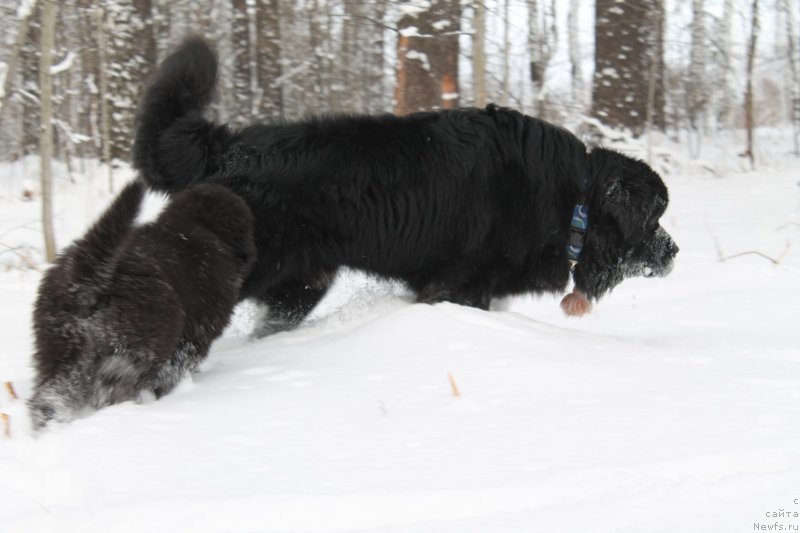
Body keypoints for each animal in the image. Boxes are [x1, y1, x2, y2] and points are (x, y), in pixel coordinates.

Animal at [28, 179, 253, 428]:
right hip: (135, 348)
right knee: (116, 386)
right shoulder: (193, 339)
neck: (201, 227)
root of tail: (88, 277)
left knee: (51, 397)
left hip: (58, 348)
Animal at [133, 38, 676, 332]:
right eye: (655, 219)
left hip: (302, 284)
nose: (675, 252)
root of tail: (228, 147)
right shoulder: (456, 283)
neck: (573, 201)